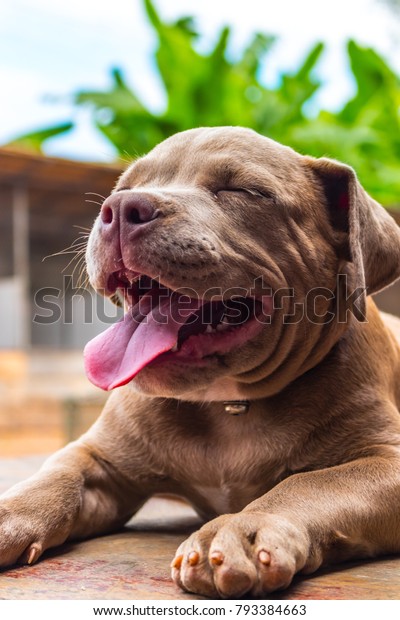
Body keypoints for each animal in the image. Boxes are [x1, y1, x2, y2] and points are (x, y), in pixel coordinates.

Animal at [0, 128, 400, 600]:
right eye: (123, 188)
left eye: (243, 191)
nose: (121, 208)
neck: (228, 404)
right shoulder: (101, 459)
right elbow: (57, 475)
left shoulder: (385, 460)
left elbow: (311, 483)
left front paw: (242, 529)